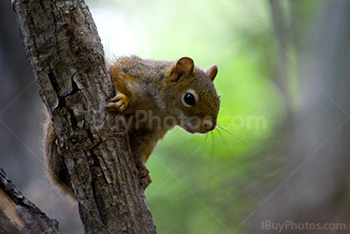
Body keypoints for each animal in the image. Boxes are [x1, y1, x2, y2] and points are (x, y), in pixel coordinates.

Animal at [43, 55, 219, 197]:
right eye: (189, 98)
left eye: (219, 98)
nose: (209, 126)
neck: (160, 110)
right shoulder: (137, 71)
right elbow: (119, 71)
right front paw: (123, 98)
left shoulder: (151, 131)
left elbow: (142, 148)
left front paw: (142, 170)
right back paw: (59, 146)